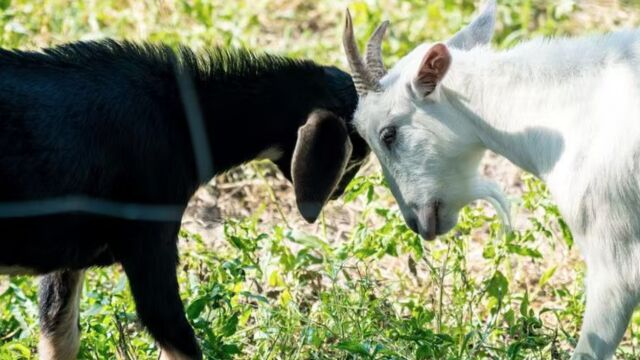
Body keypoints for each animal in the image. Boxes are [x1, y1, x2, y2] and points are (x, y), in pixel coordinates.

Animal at [0, 40, 370, 358]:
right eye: (358, 154)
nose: (338, 193)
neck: (181, 116)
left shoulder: (68, 258)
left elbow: (59, 335)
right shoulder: (150, 245)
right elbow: (180, 340)